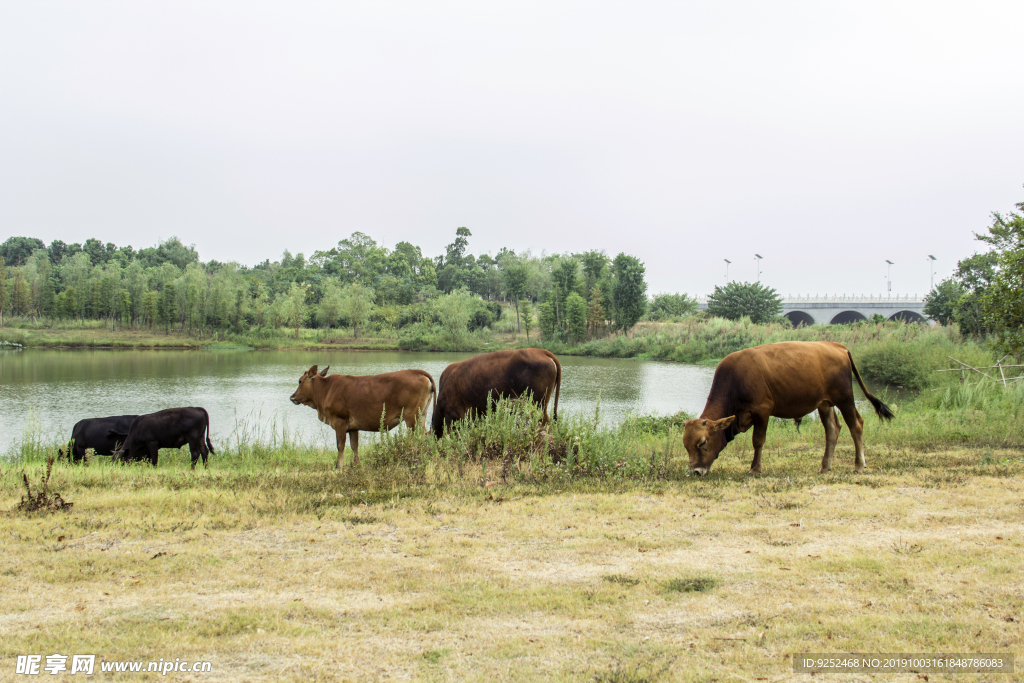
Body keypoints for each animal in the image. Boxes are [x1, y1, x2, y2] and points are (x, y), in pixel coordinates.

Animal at [288, 368, 436, 471]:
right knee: (425, 437)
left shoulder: (340, 422)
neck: (326, 389)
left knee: (416, 439)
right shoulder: (353, 427)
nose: (292, 397)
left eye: (300, 381)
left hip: (412, 418)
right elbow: (354, 446)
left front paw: (338, 466)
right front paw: (357, 464)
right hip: (421, 416)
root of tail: (417, 371)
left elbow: (340, 445)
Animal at [684, 339, 892, 475]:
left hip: (845, 398)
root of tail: (838, 346)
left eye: (702, 443)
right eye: (686, 446)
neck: (736, 381)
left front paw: (755, 469)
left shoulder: (762, 411)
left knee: (856, 425)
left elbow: (758, 440)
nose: (695, 471)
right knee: (833, 429)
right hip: (825, 404)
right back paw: (825, 466)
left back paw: (859, 465)